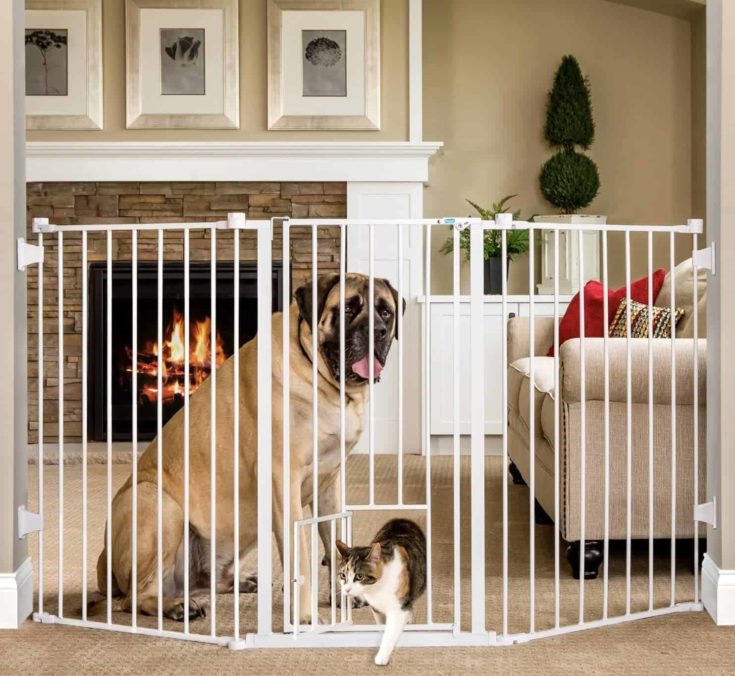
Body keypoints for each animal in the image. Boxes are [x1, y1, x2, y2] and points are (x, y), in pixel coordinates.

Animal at [93, 274, 402, 624]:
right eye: (348, 308)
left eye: (386, 312)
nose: (377, 331)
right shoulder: (284, 481)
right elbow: (300, 554)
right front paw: (306, 617)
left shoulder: (329, 483)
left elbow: (335, 538)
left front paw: (344, 595)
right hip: (154, 502)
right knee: (134, 597)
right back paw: (176, 606)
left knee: (204, 580)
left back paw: (241, 581)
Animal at [338, 516, 428, 664]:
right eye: (343, 575)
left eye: (359, 576)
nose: (347, 589)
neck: (378, 589)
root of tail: (401, 519)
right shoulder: (376, 609)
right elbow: (381, 627)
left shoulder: (398, 607)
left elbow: (390, 632)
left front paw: (381, 657)